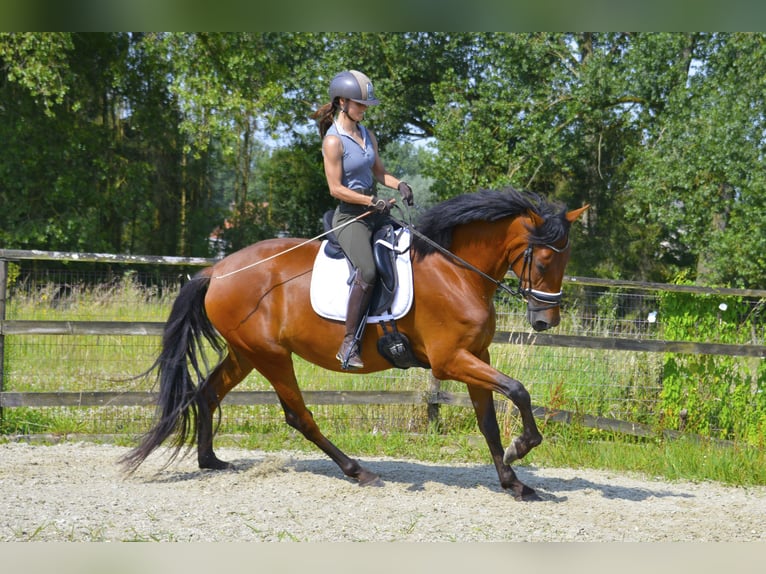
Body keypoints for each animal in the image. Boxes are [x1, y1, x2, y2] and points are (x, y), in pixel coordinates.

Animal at [121, 188, 588, 500]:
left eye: (566, 259)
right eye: (545, 259)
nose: (545, 321)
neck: (456, 272)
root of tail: (217, 271)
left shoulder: (477, 355)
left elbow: (489, 420)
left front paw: (513, 480)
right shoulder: (450, 360)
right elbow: (518, 390)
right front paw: (522, 447)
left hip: (246, 354)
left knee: (208, 393)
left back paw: (210, 461)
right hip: (272, 357)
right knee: (299, 416)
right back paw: (358, 471)